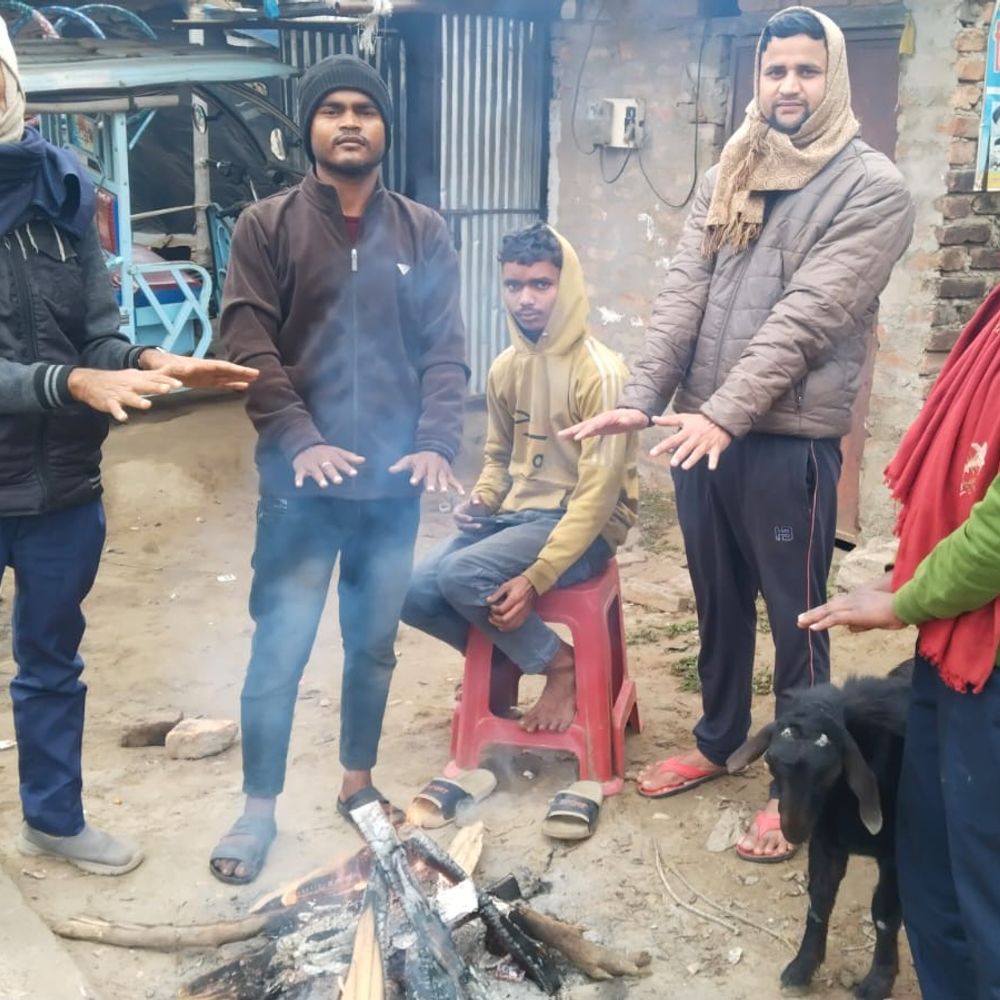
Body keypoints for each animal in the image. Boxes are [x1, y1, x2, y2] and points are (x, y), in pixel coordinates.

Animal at [726, 661, 913, 1000]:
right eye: (771, 761)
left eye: (831, 771)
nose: (794, 830)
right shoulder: (827, 841)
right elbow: (820, 900)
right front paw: (802, 967)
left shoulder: (895, 855)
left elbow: (884, 913)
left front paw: (878, 980)